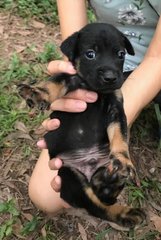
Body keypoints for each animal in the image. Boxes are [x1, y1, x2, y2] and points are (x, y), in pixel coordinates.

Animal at [18, 23, 145, 228]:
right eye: (90, 54)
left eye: (120, 54)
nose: (111, 77)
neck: (96, 90)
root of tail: (90, 169)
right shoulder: (70, 77)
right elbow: (55, 81)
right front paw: (38, 93)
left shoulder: (116, 110)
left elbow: (120, 137)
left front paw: (123, 161)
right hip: (71, 178)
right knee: (96, 205)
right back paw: (124, 209)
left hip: (99, 170)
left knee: (102, 196)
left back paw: (112, 183)